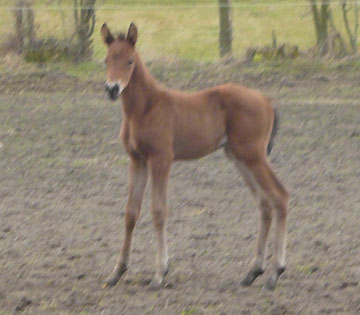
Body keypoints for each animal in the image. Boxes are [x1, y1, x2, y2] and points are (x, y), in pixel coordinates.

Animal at [100, 23, 290, 292]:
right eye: (106, 60)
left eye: (129, 61)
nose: (112, 89)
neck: (146, 108)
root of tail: (266, 100)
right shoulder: (137, 161)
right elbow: (130, 213)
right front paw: (117, 272)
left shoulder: (161, 159)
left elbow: (159, 211)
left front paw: (160, 273)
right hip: (239, 158)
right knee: (265, 203)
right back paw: (254, 271)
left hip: (253, 156)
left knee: (280, 196)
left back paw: (275, 272)